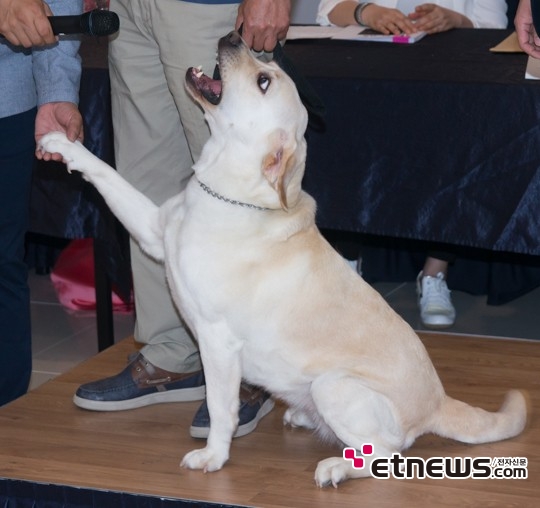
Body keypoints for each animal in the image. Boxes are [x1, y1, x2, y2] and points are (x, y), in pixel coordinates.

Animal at [41, 31, 528, 488]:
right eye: (265, 66)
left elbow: (220, 407)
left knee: (387, 455)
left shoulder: (218, 341)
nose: (235, 37)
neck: (228, 193)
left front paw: (213, 456)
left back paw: (336, 467)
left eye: (263, 80)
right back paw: (302, 419)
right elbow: (108, 174)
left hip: (334, 384)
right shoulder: (153, 231)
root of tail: (438, 404)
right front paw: (63, 143)